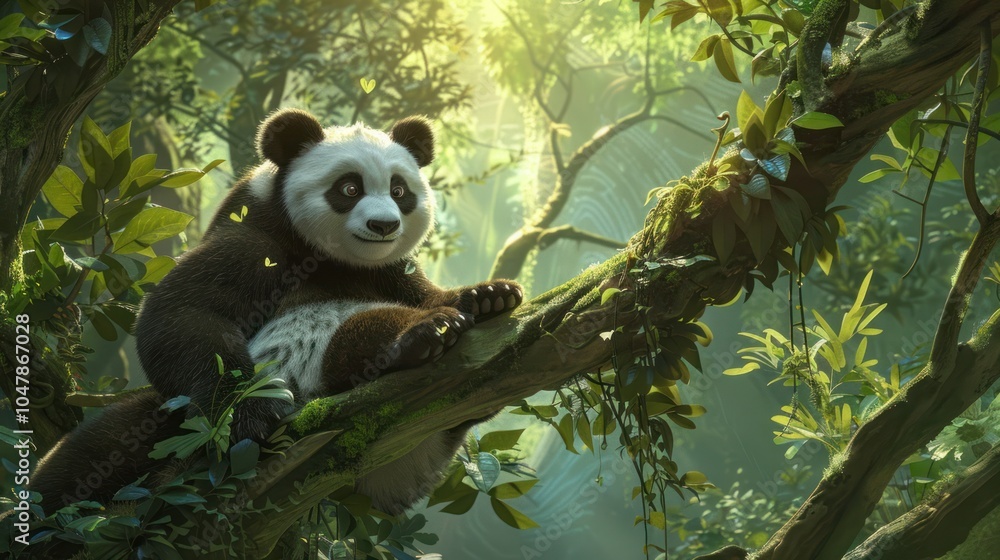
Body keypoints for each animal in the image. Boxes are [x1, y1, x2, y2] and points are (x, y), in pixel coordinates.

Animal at [29, 109, 523, 523]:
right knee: (98, 450)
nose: (384, 226)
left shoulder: (385, 269)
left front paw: (487, 295)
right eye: (349, 188)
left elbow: (418, 286)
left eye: (399, 191)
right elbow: (184, 311)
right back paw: (424, 334)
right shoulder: (255, 238)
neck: (336, 260)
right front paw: (247, 417)